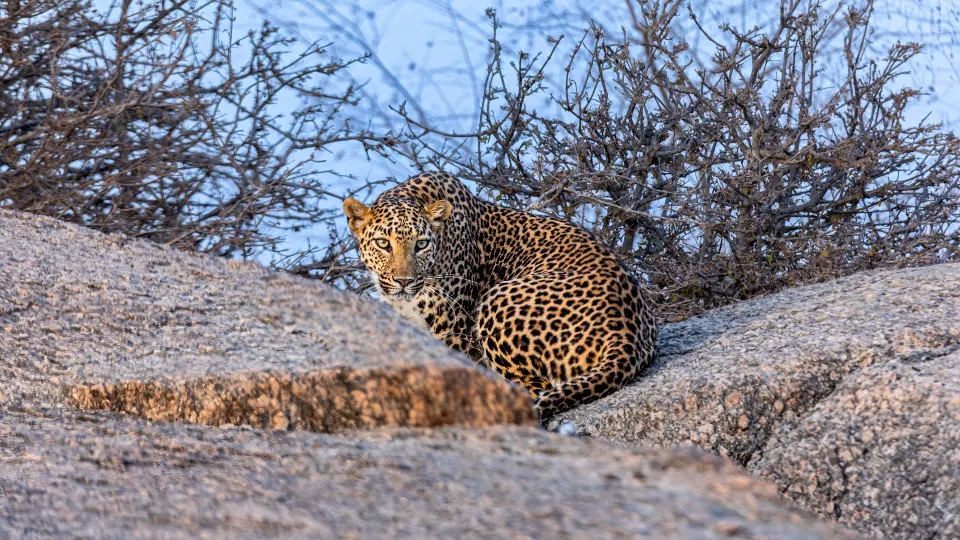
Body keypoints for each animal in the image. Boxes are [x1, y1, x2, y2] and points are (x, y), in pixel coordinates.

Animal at [343, 171, 657, 420]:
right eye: (383, 243)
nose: (404, 281)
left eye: (420, 244)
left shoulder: (453, 333)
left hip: (497, 301)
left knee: (532, 388)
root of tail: (628, 336)